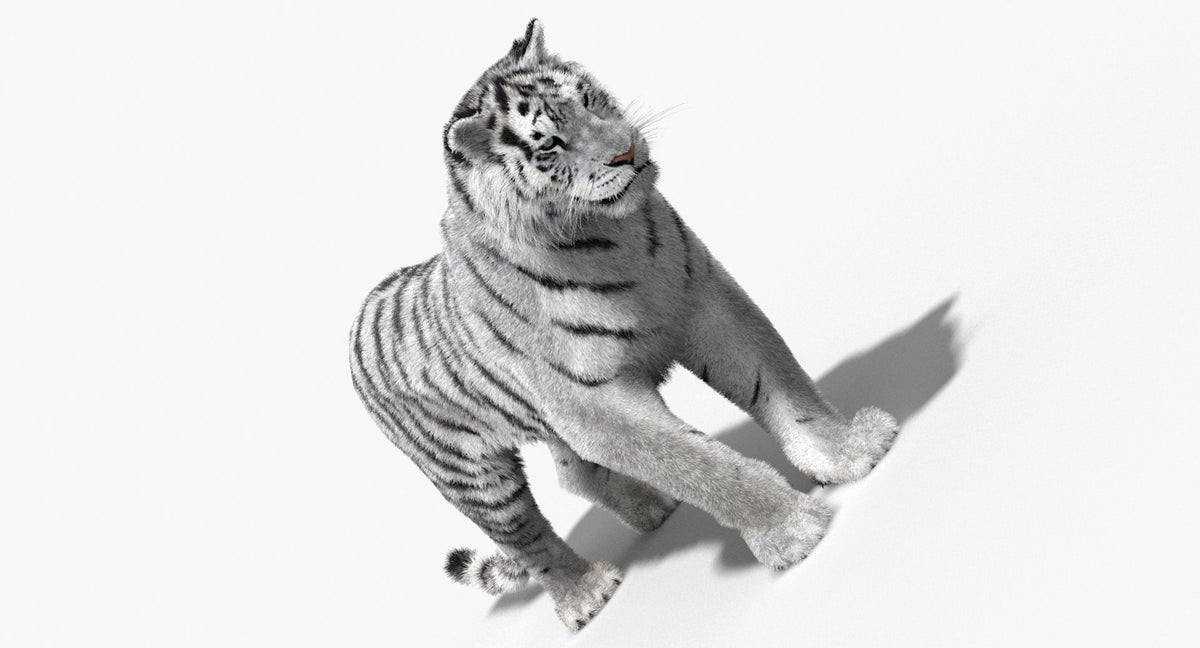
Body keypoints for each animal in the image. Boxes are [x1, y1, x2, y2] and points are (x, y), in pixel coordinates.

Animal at [348, 19, 900, 631]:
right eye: (549, 144)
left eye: (588, 100)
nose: (627, 149)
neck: (609, 237)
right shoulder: (597, 405)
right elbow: (699, 465)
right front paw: (792, 530)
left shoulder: (705, 301)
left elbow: (780, 384)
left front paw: (849, 452)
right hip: (474, 476)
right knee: (529, 540)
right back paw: (586, 594)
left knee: (575, 475)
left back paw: (652, 506)